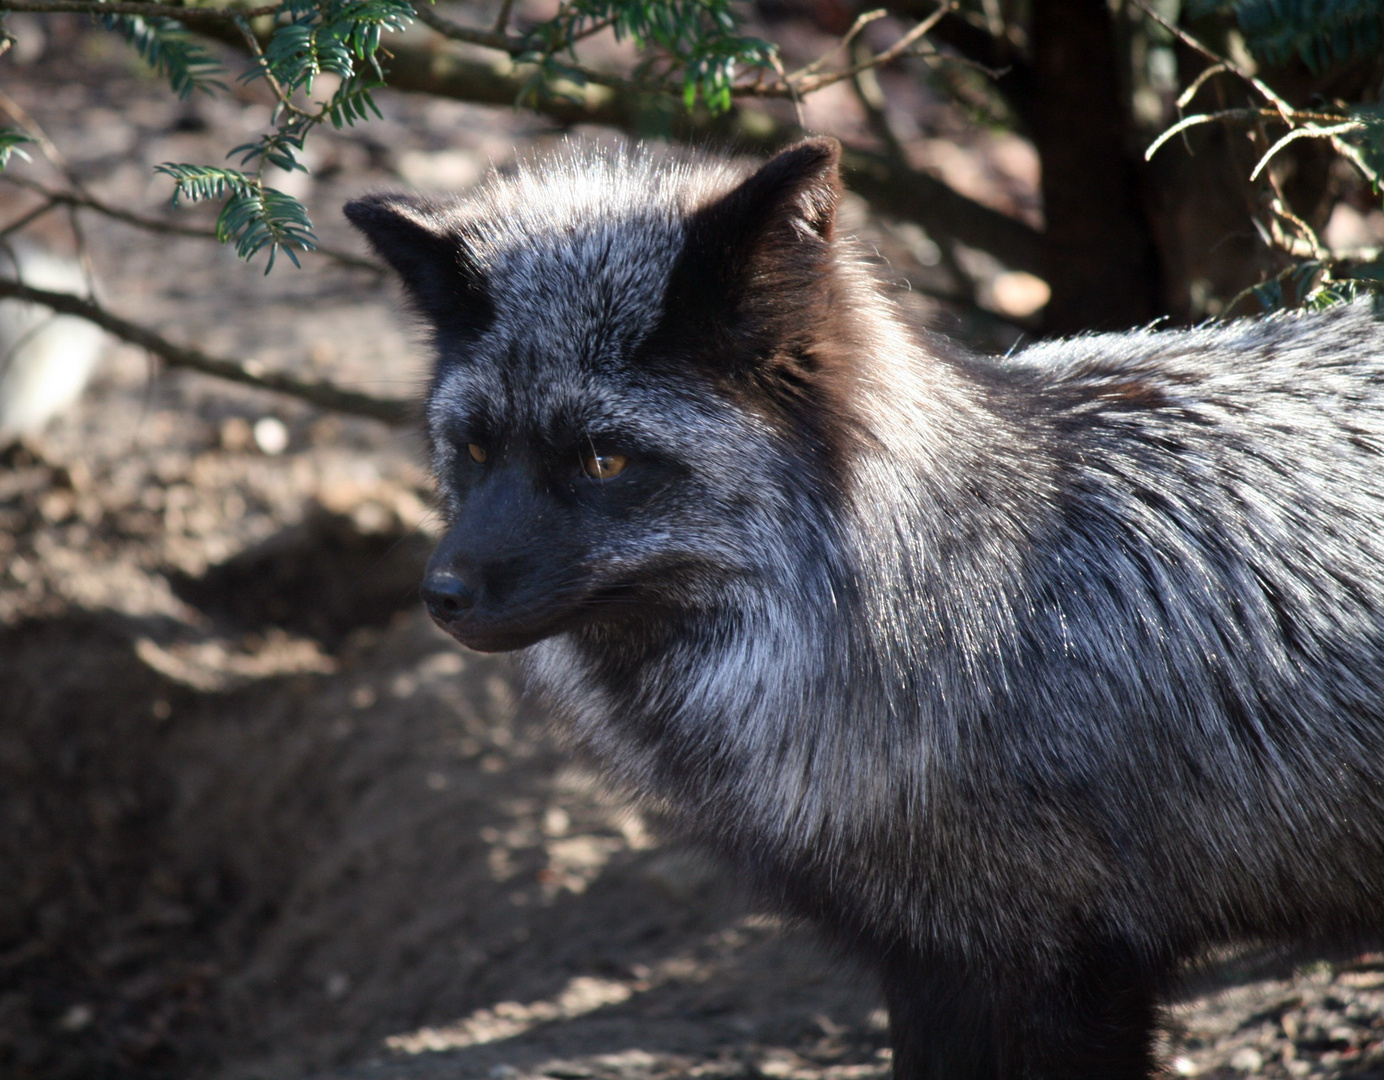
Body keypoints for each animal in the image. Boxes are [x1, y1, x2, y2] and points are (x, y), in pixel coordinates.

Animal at [348, 141, 1384, 1080]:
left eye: (603, 459)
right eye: (474, 450)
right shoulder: (936, 964)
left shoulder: (1058, 972)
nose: (441, 598)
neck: (982, 609)